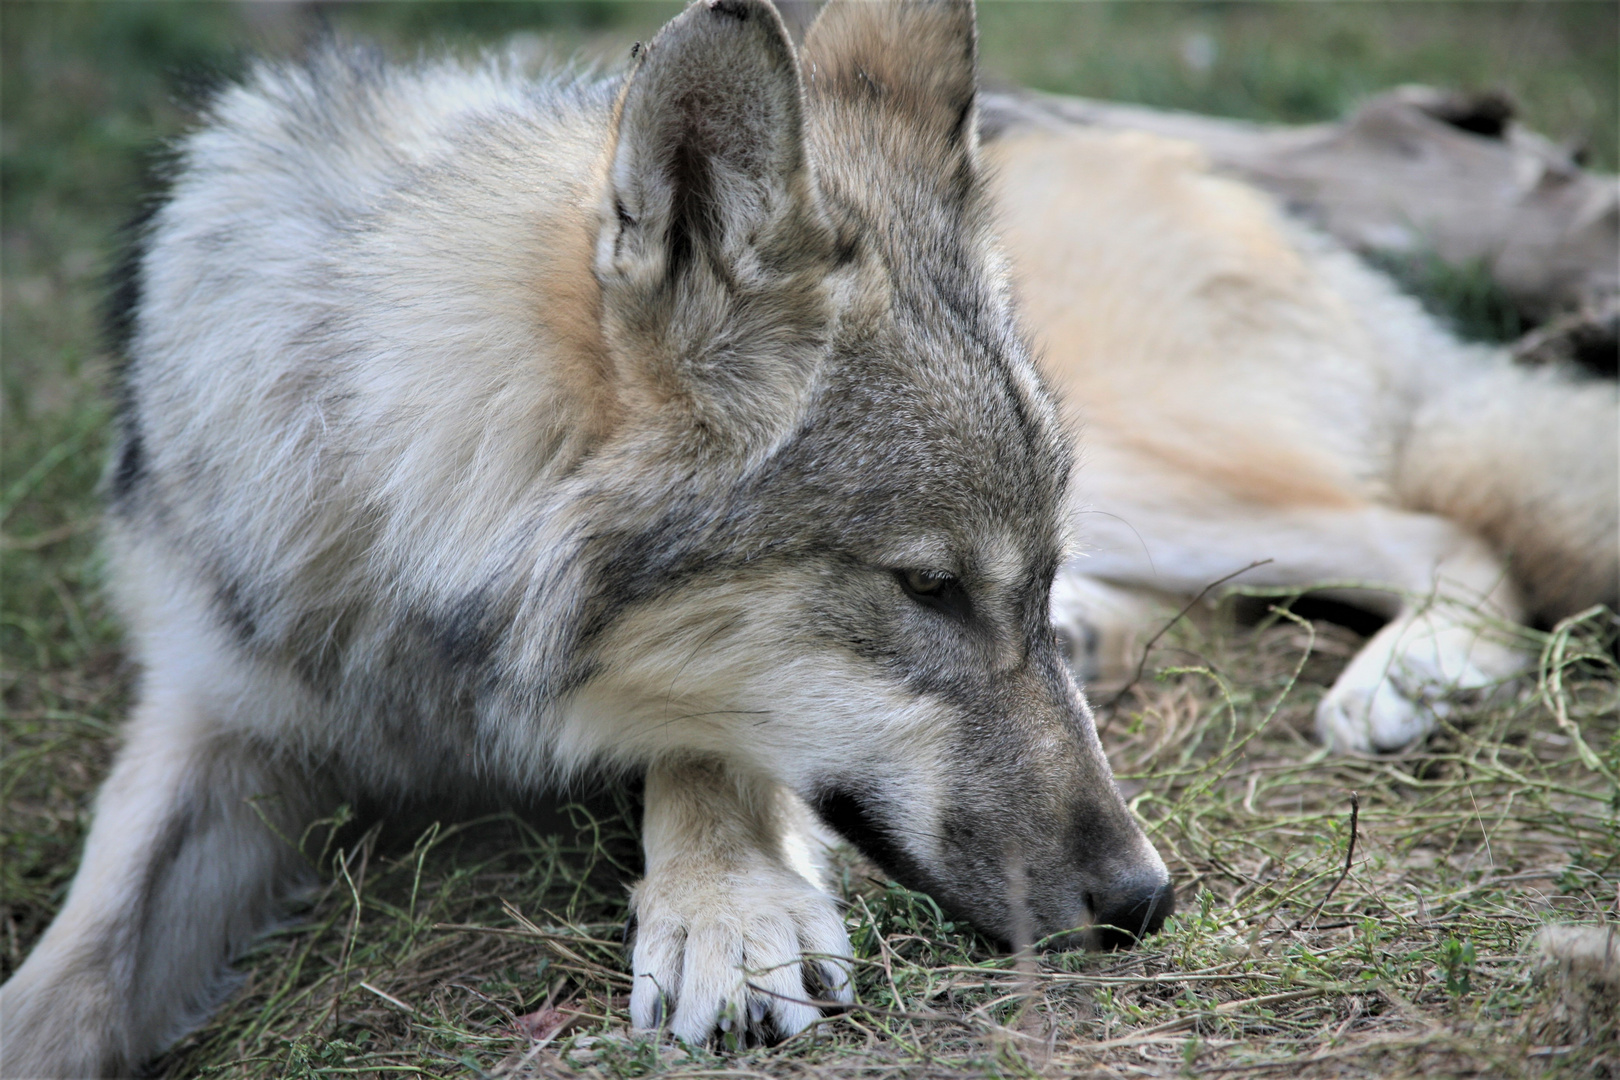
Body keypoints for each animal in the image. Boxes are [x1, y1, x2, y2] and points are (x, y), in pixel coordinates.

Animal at [0, 2, 1179, 1075]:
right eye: (928, 587)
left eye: (1031, 577)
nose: (1145, 899)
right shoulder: (212, 703)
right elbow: (75, 973)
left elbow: (711, 746)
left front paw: (728, 913)